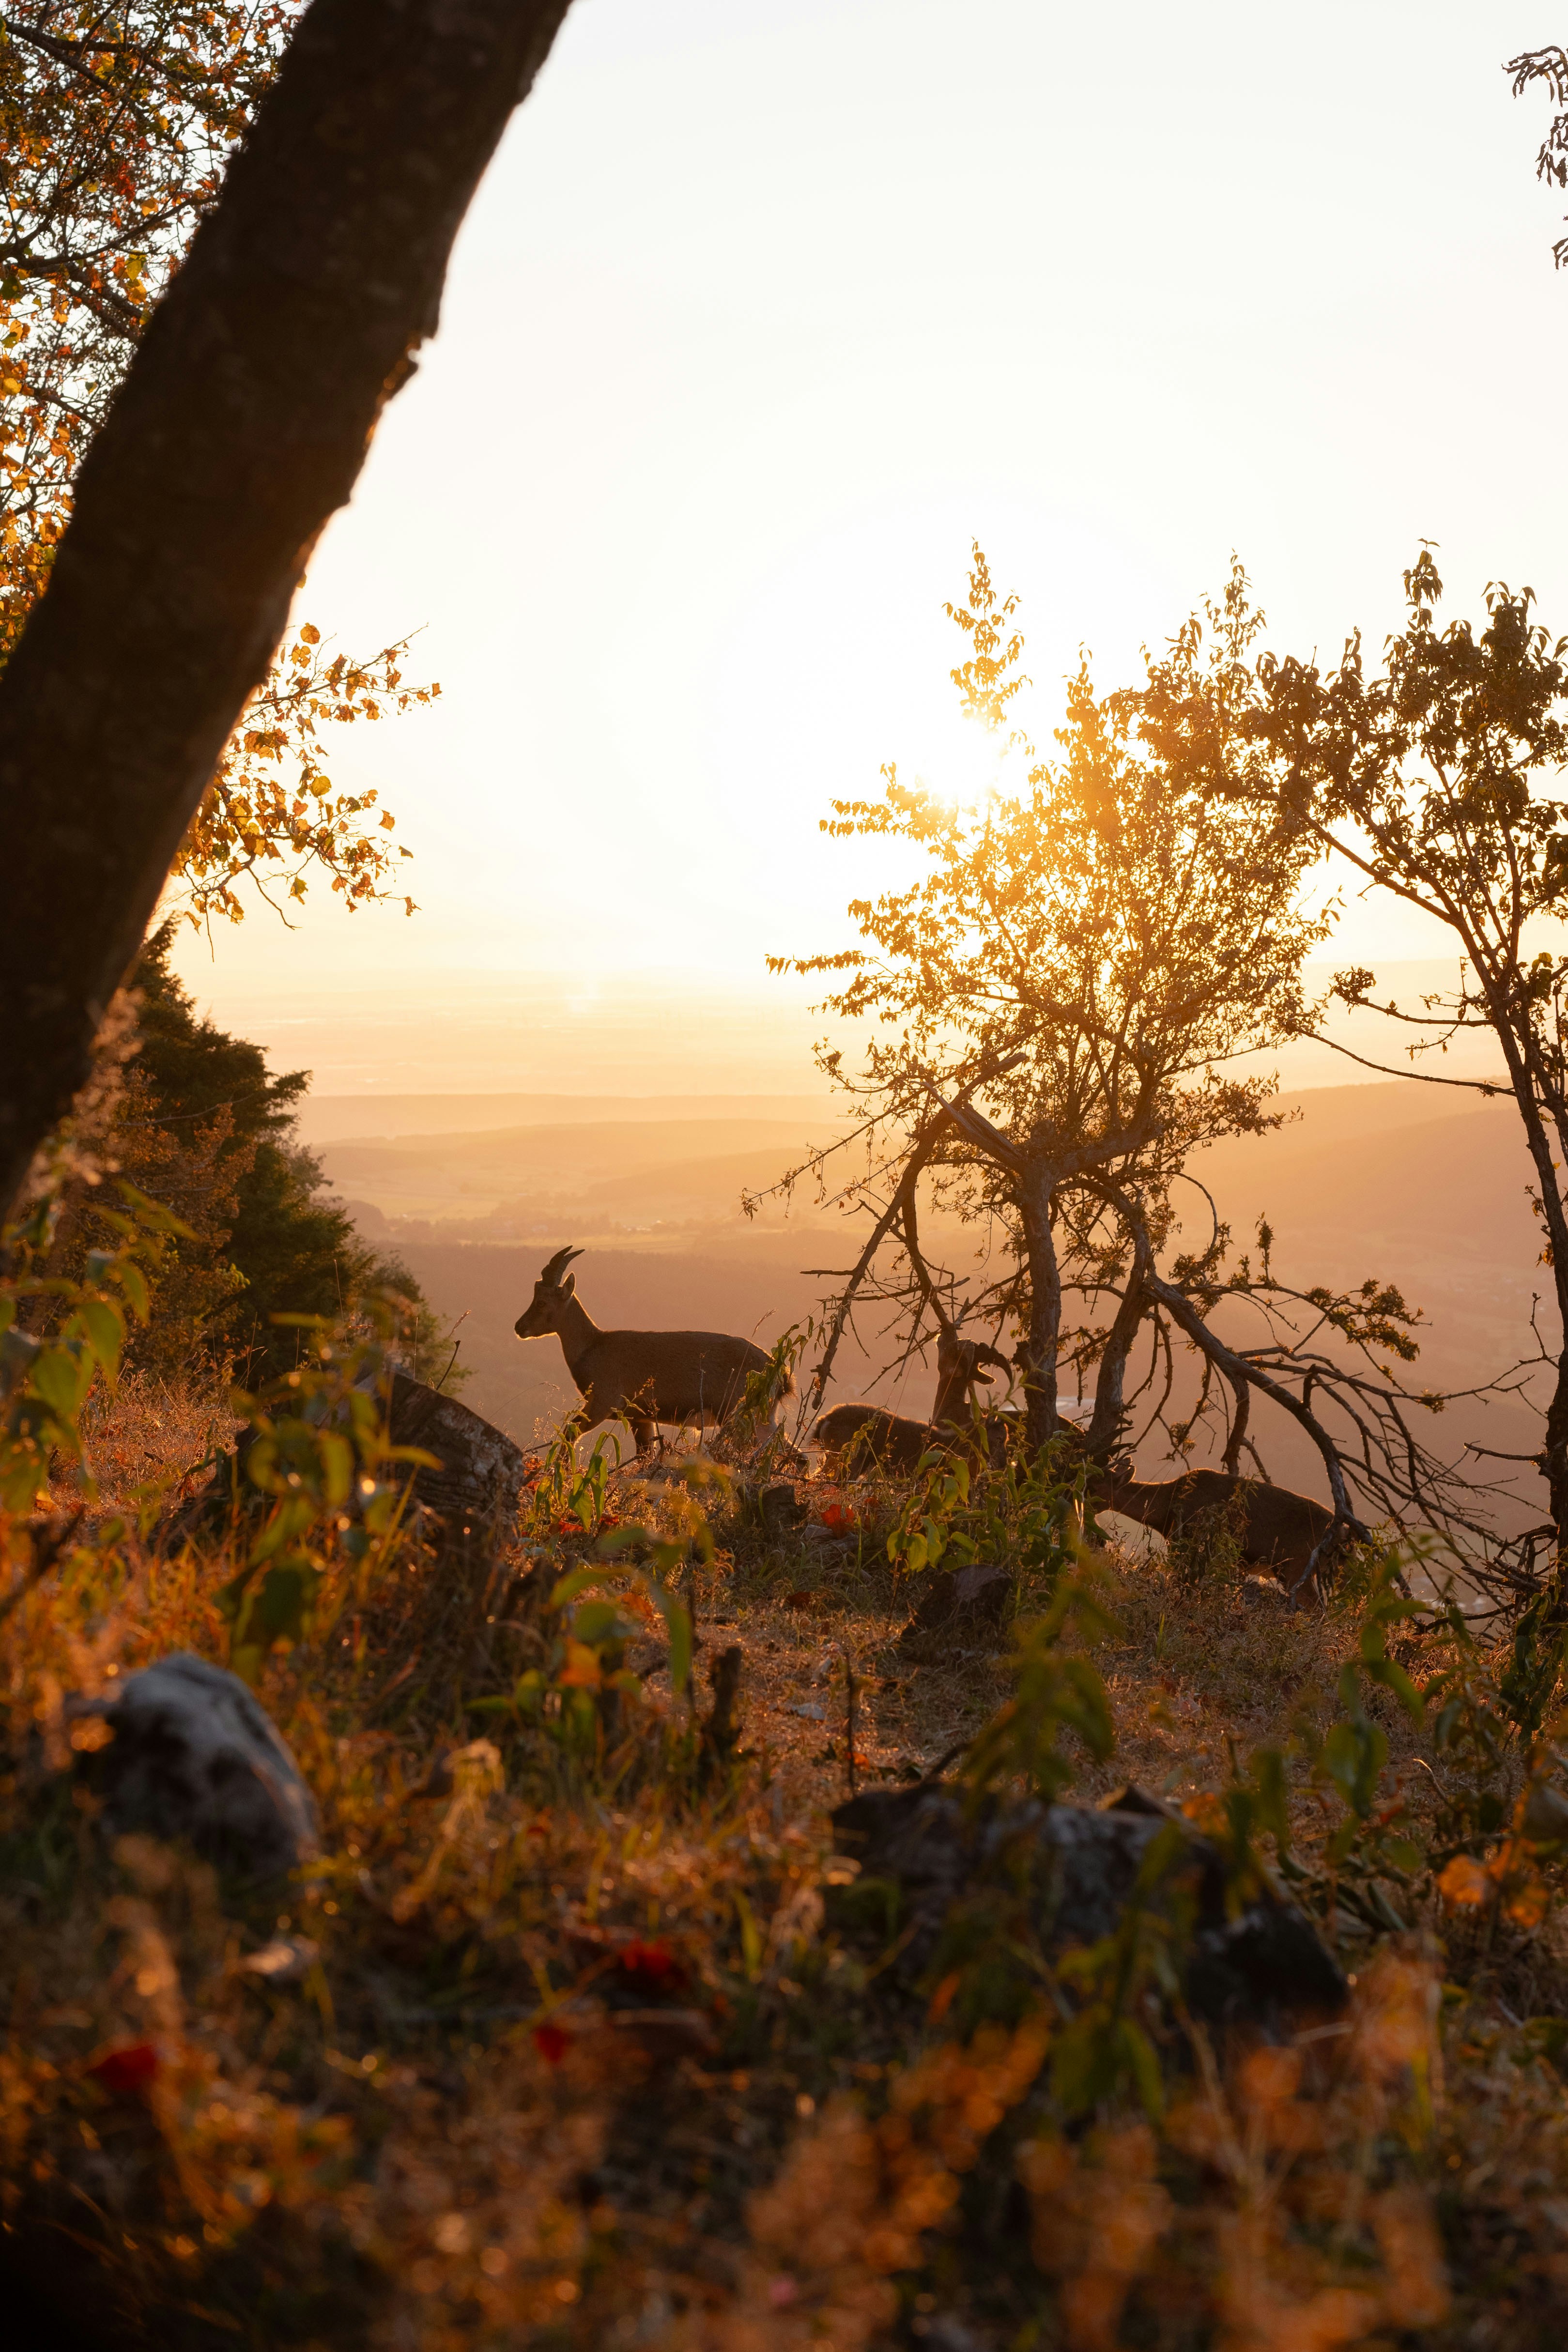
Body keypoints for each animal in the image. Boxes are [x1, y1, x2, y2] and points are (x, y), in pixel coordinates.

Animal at [513, 1247, 788, 1455]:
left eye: (542, 1302)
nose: (519, 1327)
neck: (593, 1346)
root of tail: (779, 1372)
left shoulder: (602, 1403)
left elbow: (570, 1433)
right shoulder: (640, 1418)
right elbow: (644, 1454)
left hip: (738, 1414)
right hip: (761, 1417)